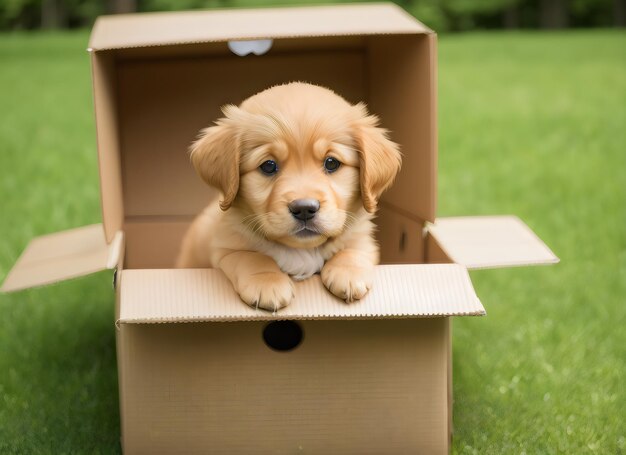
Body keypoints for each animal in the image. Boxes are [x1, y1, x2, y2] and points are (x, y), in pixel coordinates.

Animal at [176, 82, 400, 312]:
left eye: (331, 163)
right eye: (268, 166)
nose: (304, 209)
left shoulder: (366, 241)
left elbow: (354, 249)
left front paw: (348, 272)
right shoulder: (223, 247)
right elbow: (250, 256)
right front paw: (266, 282)